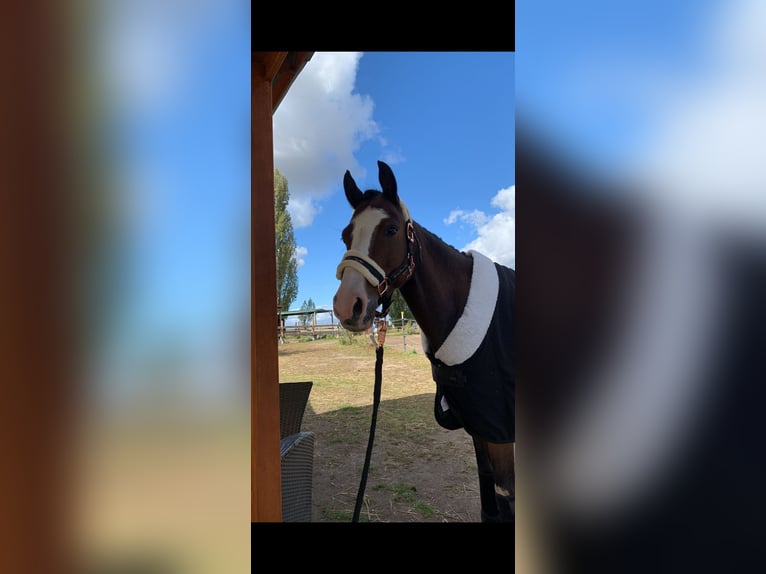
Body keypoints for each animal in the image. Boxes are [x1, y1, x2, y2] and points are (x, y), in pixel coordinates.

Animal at [332, 160, 515, 523]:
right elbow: (490, 502)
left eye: (390, 230)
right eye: (346, 235)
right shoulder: (479, 427)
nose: (348, 306)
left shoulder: (501, 433)